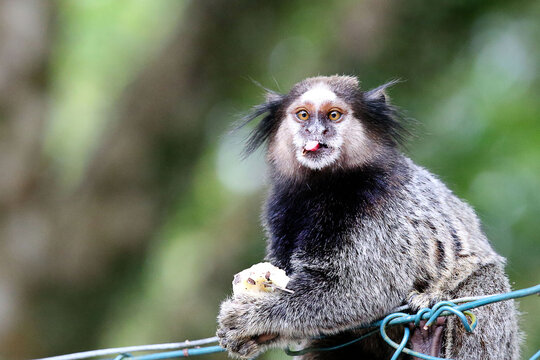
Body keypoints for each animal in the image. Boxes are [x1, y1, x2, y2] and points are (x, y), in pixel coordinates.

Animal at [217, 74, 520, 358]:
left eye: (334, 115)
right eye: (303, 115)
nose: (316, 131)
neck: (324, 186)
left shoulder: (380, 207)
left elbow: (362, 289)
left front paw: (252, 316)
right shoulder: (281, 208)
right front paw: (254, 337)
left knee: (482, 280)